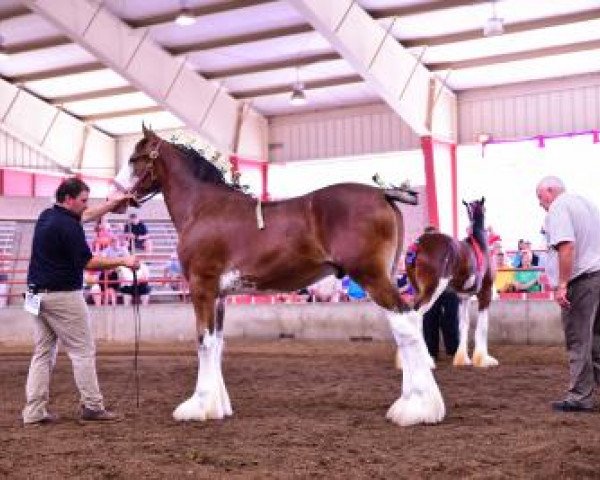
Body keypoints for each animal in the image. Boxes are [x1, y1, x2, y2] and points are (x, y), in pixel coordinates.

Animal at [110, 125, 446, 426]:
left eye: (135, 158)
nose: (115, 196)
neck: (203, 208)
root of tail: (383, 193)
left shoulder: (201, 287)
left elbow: (203, 341)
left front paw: (198, 406)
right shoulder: (219, 295)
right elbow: (217, 343)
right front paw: (218, 406)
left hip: (372, 277)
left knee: (405, 325)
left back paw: (417, 410)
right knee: (406, 326)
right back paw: (413, 404)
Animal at [406, 197, 500, 370]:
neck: (479, 244)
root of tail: (419, 243)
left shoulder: (463, 297)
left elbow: (463, 325)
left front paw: (463, 359)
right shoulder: (485, 293)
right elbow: (482, 327)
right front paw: (484, 360)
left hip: (418, 289)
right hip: (433, 289)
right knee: (416, 316)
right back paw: (426, 361)